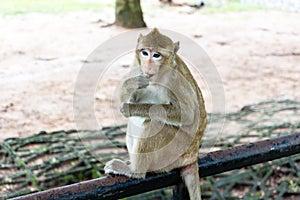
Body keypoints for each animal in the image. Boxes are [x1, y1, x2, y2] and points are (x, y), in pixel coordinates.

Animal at [105, 28, 206, 200]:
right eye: (145, 53)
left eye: (156, 55)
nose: (148, 66)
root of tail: (192, 156)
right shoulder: (136, 66)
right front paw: (132, 83)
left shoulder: (175, 80)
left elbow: (187, 115)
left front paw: (130, 108)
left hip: (174, 152)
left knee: (153, 123)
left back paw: (135, 171)